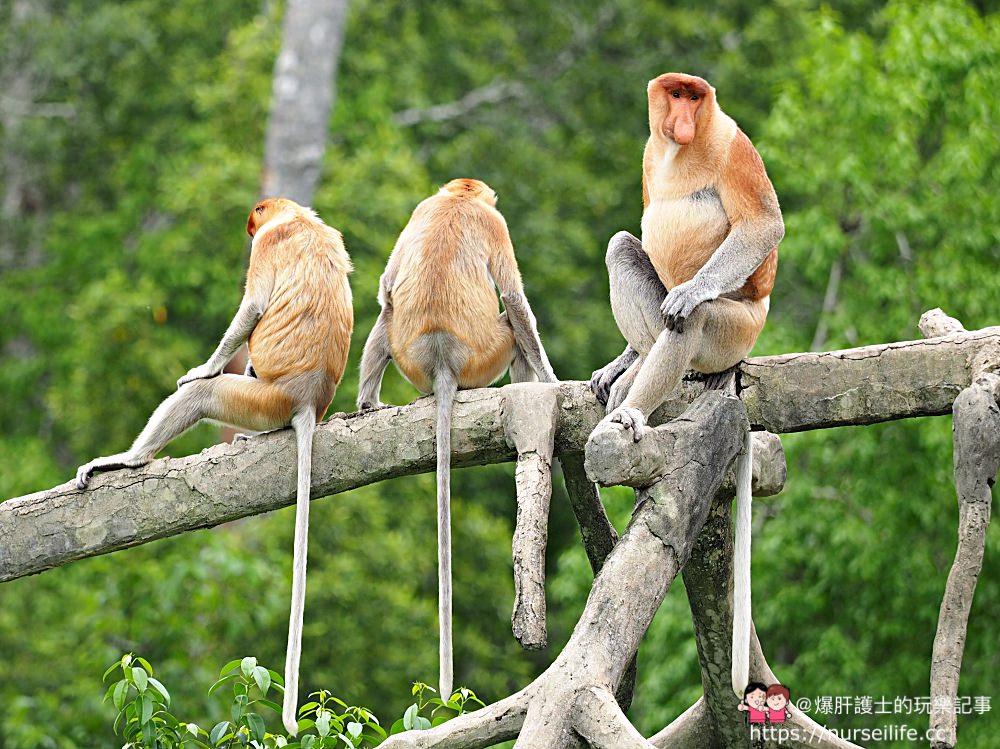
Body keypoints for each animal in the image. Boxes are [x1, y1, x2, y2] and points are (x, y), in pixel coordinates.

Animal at [75, 196, 356, 732]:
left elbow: (253, 307)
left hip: (260, 398)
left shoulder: (267, 247)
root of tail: (308, 400)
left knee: (204, 394)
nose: (247, 228)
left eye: (254, 222)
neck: (298, 218)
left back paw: (129, 459)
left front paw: (202, 367)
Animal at [356, 177, 560, 700]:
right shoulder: (495, 225)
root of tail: (443, 358)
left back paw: (367, 405)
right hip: (488, 353)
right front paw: (552, 379)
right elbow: (514, 298)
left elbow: (385, 284)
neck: (457, 200)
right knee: (510, 323)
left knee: (387, 310)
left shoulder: (419, 209)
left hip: (411, 355)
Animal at [588, 73, 784, 700]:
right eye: (674, 94)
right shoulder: (651, 156)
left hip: (737, 328)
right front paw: (620, 363)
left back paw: (634, 411)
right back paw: (632, 369)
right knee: (623, 247)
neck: (682, 150)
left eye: (695, 97)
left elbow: (763, 225)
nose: (681, 117)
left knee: (690, 322)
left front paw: (689, 291)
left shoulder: (731, 143)